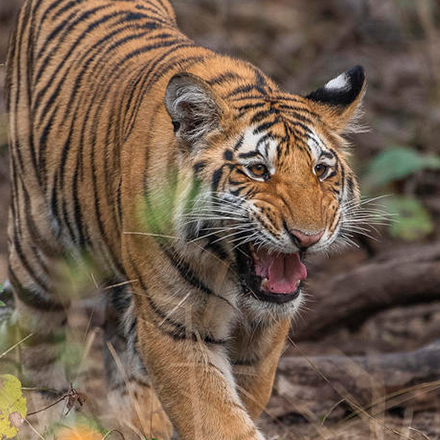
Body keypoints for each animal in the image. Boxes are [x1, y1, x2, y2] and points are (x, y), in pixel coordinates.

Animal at [5, 0, 366, 438]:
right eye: (258, 170)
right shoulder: (175, 325)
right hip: (37, 246)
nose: (308, 237)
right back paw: (49, 421)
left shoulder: (263, 335)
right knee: (38, 341)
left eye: (321, 171)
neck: (230, 270)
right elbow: (216, 416)